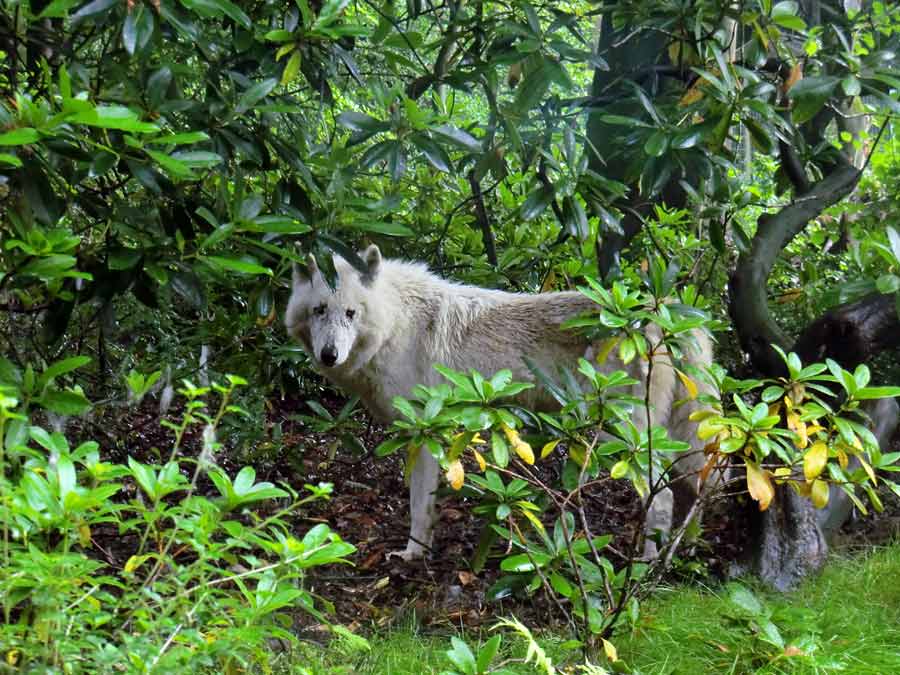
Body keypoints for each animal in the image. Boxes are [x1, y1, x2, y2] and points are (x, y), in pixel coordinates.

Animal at [284, 246, 712, 564]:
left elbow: (418, 506)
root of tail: (660, 313)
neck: (396, 324)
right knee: (697, 485)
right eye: (319, 310)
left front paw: (412, 555)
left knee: (664, 496)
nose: (329, 355)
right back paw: (685, 551)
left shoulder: (425, 431)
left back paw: (646, 565)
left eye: (351, 313)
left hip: (620, 437)